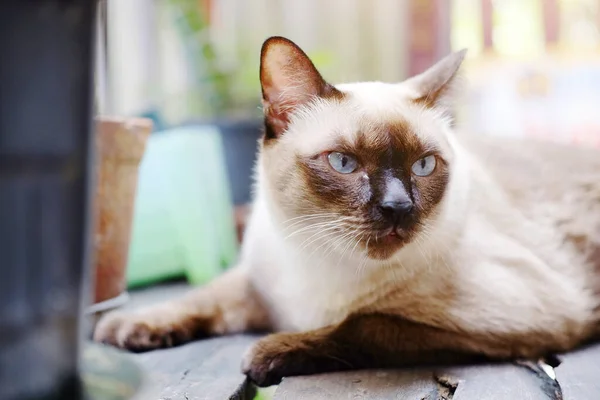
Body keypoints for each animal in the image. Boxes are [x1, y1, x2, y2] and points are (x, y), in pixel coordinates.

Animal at [94, 35, 600, 388]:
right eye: (343, 162)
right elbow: (204, 295)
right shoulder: (258, 282)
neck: (319, 263)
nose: (397, 207)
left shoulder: (520, 315)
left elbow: (366, 324)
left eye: (423, 165)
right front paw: (125, 327)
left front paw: (270, 352)